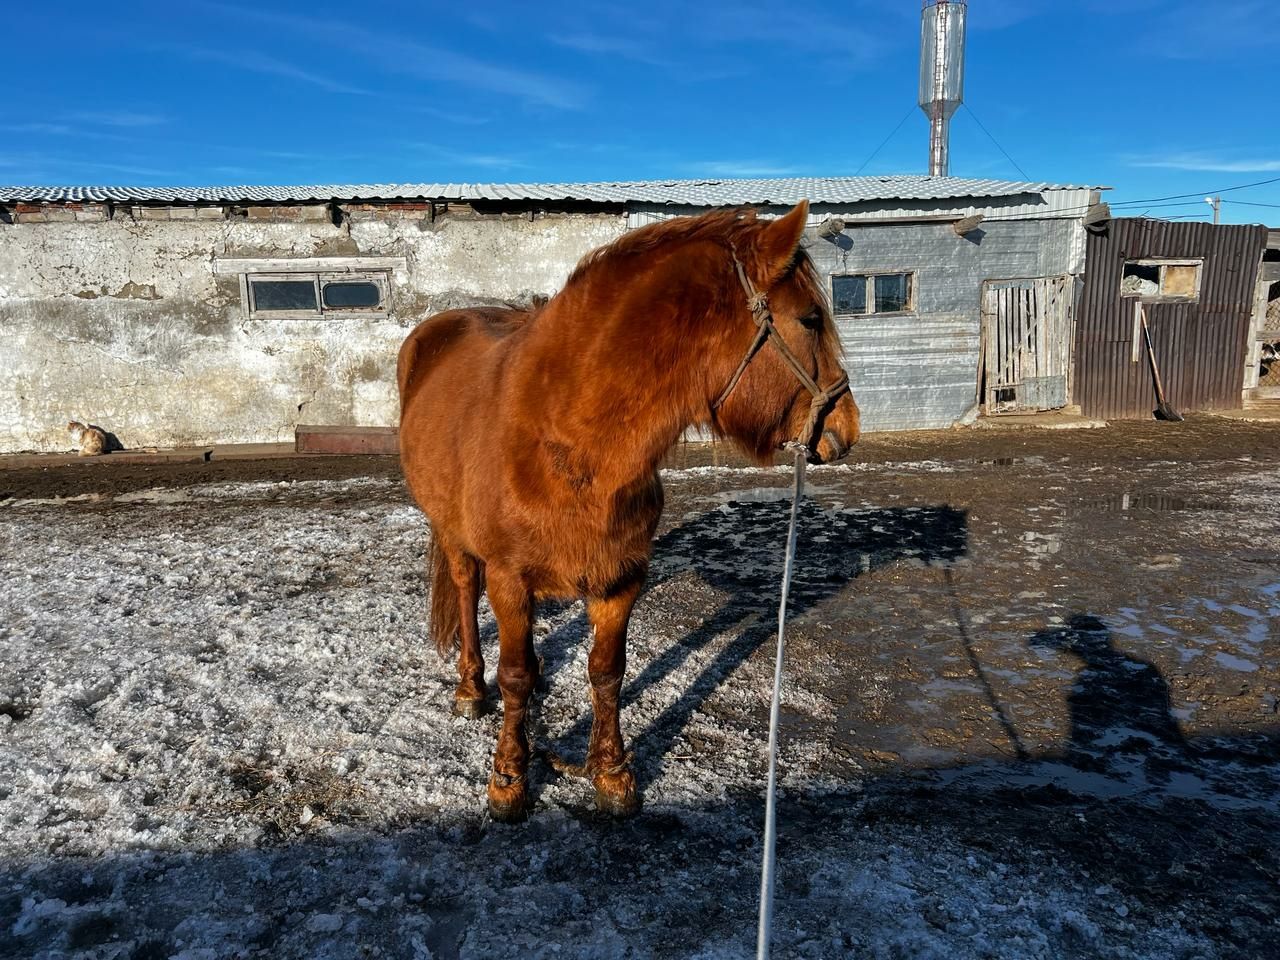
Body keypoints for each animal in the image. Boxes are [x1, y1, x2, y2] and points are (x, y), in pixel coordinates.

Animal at [399, 200, 860, 819]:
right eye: (810, 319)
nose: (847, 429)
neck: (566, 440)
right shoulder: (510, 578)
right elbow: (516, 675)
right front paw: (509, 779)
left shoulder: (621, 579)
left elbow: (607, 673)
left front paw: (611, 773)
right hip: (453, 534)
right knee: (466, 591)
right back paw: (471, 688)